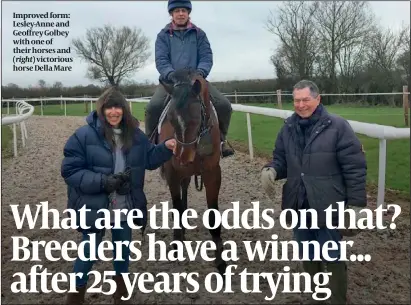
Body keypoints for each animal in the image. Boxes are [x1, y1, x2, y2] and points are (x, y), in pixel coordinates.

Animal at [151, 67, 227, 276]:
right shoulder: (172, 173)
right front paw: (177, 247)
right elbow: (177, 208)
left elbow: (213, 215)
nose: (182, 156)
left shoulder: (212, 173)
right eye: (170, 119)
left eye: (197, 118)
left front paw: (220, 262)